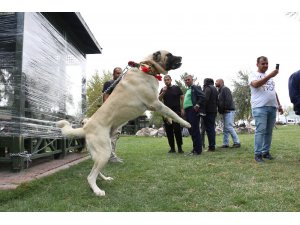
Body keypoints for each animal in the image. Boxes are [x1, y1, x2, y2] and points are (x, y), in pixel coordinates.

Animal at [56, 50, 190, 196]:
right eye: (169, 55)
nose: (181, 57)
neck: (147, 68)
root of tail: (86, 127)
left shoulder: (155, 105)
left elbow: (168, 113)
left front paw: (170, 120)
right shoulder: (155, 103)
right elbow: (172, 111)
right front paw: (186, 123)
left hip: (98, 154)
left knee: (96, 171)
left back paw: (104, 179)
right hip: (104, 152)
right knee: (90, 176)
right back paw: (97, 191)